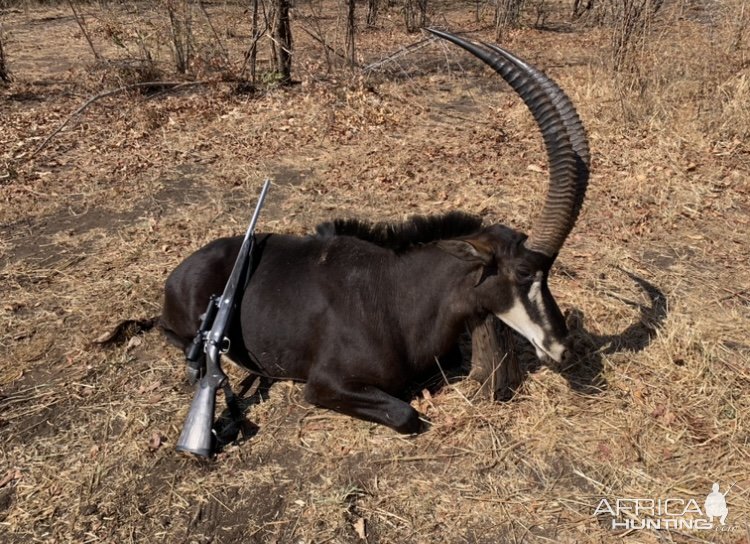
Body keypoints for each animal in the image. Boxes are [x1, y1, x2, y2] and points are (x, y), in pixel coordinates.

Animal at [162, 29, 592, 436]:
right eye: (523, 272)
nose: (564, 349)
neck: (398, 297)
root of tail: (180, 271)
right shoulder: (323, 385)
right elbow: (406, 414)